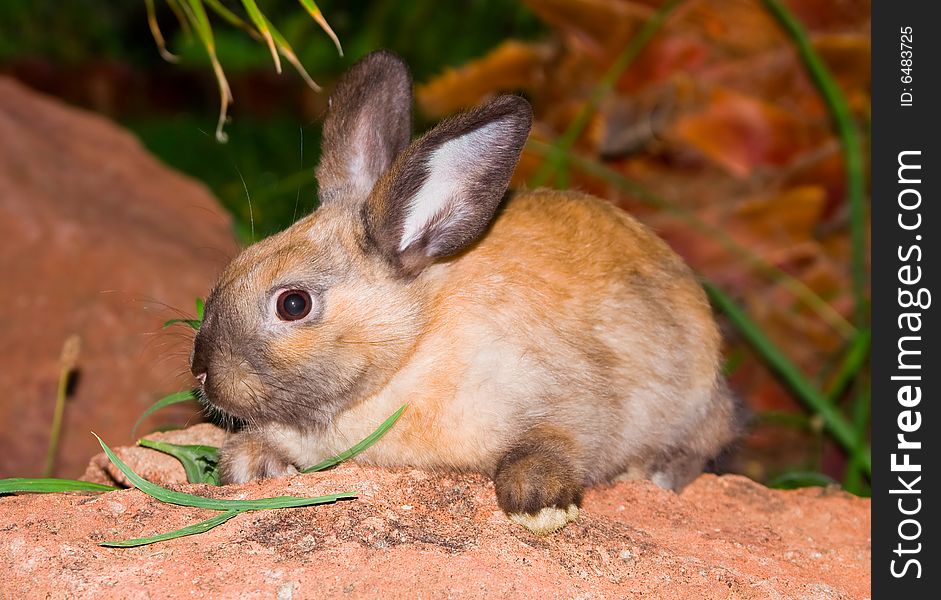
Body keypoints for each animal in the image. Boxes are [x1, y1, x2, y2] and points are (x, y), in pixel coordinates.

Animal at [191, 50, 744, 536]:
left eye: (293, 304)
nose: (201, 371)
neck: (414, 346)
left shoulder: (570, 397)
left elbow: (554, 445)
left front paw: (539, 506)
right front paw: (250, 465)